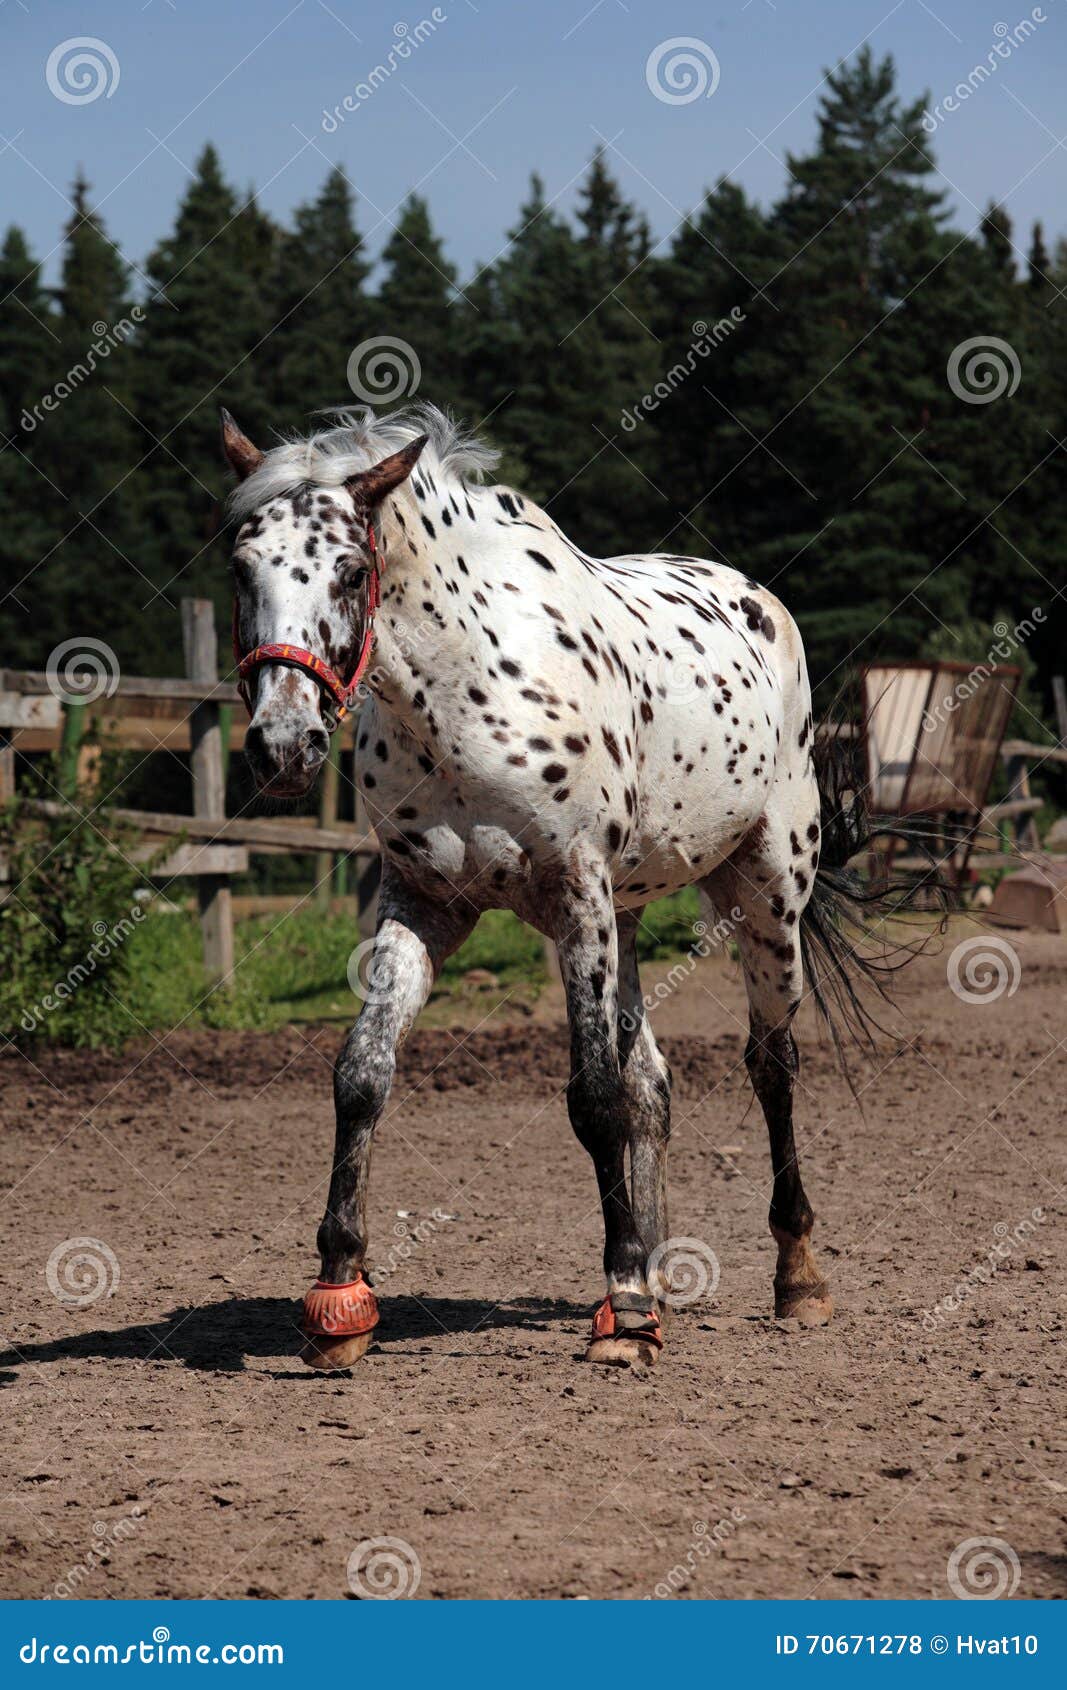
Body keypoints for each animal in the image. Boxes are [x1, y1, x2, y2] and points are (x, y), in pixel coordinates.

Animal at [222, 401, 866, 1370]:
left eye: (350, 570)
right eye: (241, 566)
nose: (282, 746)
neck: (461, 692)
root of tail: (760, 603)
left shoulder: (574, 894)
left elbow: (592, 1098)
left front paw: (623, 1313)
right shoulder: (425, 903)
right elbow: (363, 1073)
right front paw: (338, 1300)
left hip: (764, 885)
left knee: (769, 1061)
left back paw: (795, 1278)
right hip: (626, 918)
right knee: (653, 1084)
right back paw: (661, 1272)